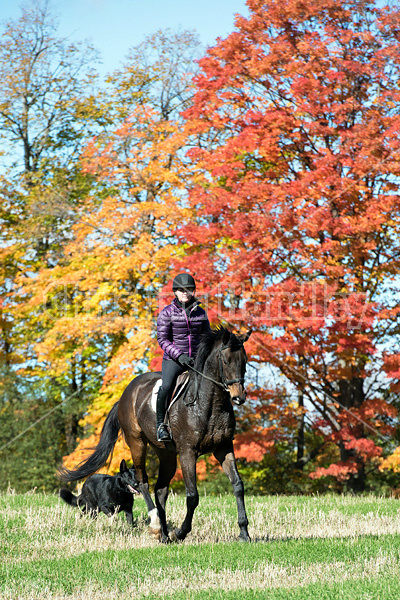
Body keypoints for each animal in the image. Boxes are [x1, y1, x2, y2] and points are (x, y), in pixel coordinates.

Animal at [60, 328, 250, 544]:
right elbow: (192, 496)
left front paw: (244, 533)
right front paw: (181, 532)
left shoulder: (224, 448)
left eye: (244, 360)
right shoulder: (187, 452)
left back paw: (164, 534)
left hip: (166, 454)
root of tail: (126, 394)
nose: (239, 397)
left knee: (160, 490)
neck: (209, 405)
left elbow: (238, 485)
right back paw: (156, 524)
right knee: (143, 482)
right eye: (225, 361)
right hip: (137, 443)